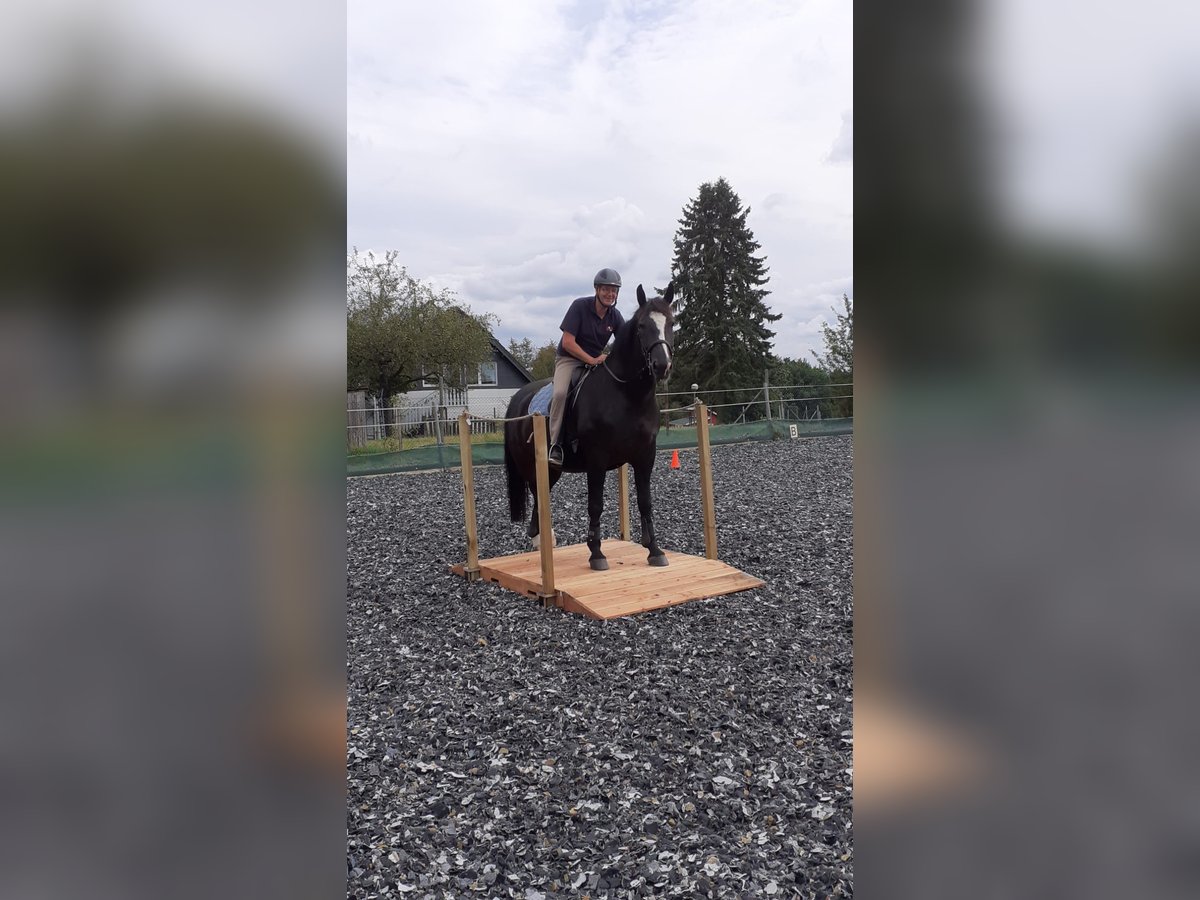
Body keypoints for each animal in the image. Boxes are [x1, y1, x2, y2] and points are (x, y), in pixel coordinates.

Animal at [504, 283, 676, 571]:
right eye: (642, 326)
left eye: (671, 323)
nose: (661, 365)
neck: (626, 394)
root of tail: (519, 398)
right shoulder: (597, 459)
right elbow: (595, 505)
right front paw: (596, 554)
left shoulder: (645, 457)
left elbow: (645, 502)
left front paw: (654, 550)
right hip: (533, 465)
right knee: (538, 493)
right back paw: (541, 539)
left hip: (552, 470)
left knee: (541, 495)